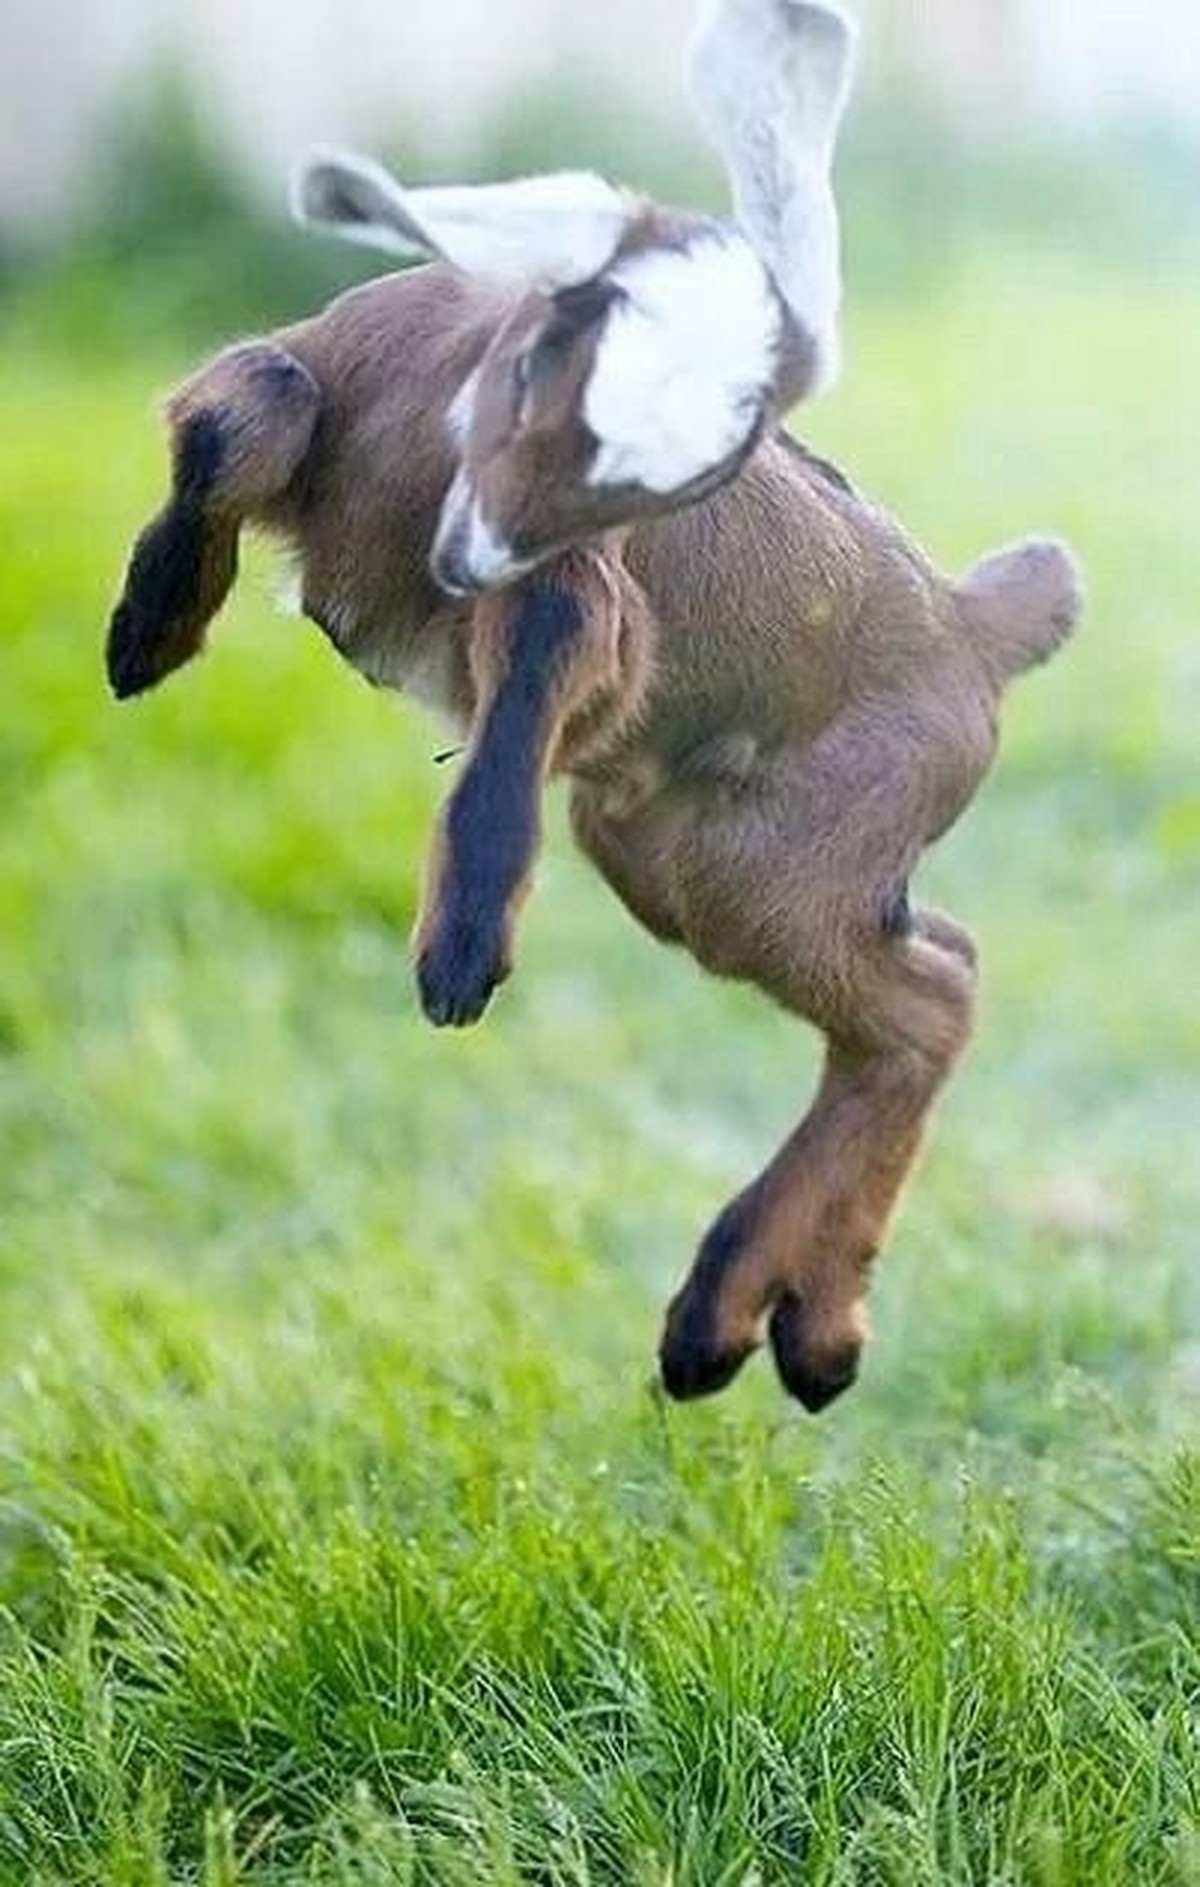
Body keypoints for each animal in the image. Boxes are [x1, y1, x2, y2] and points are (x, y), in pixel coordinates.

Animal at [105, 0, 1081, 1411]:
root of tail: (978, 622)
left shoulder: (579, 604)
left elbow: (513, 723)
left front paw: (460, 951)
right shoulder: (309, 375)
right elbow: (245, 410)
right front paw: (150, 627)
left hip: (753, 872)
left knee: (930, 1004)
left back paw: (768, 1325)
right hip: (668, 852)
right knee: (936, 964)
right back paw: (768, 1323)